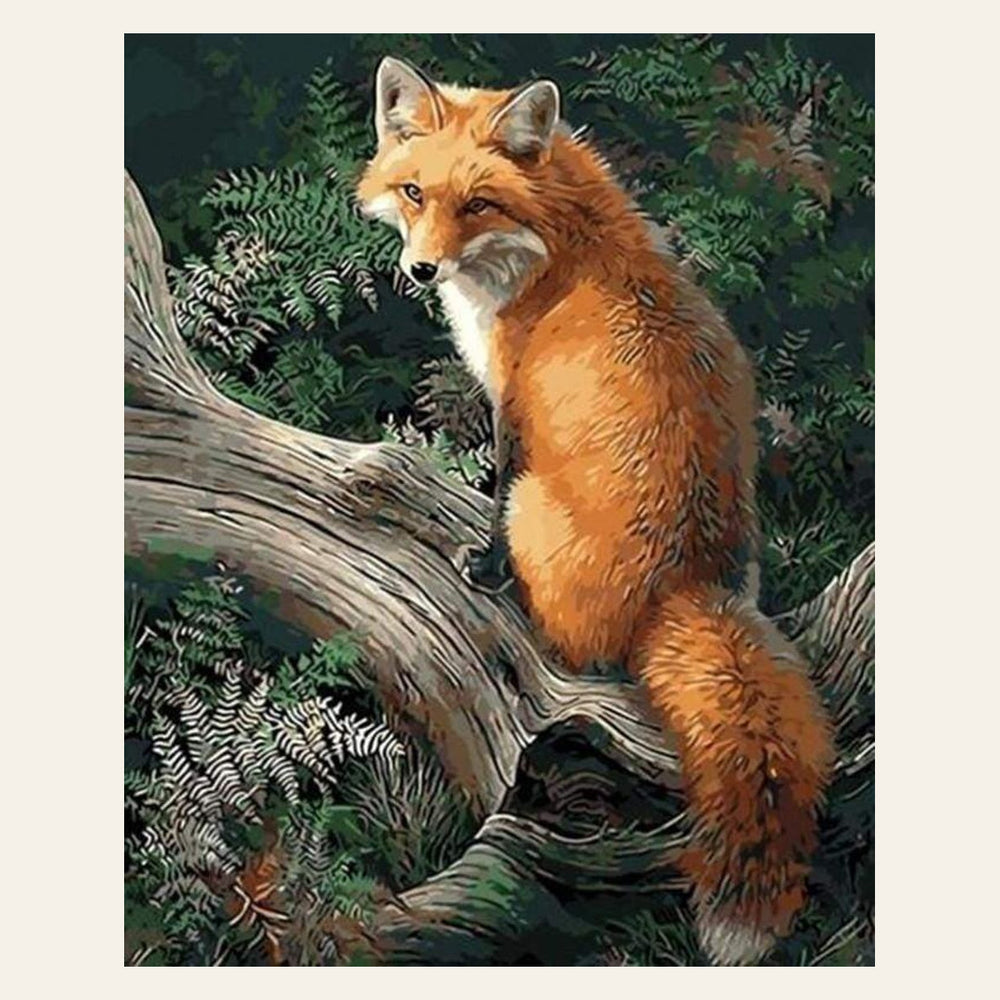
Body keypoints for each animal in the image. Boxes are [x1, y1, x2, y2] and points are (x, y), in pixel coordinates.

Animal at [357, 56, 835, 966]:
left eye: (477, 203)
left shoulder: (512, 403)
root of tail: (686, 588)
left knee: (568, 640)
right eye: (414, 192)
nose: (421, 271)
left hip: (539, 511)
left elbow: (495, 488)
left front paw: (483, 566)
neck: (559, 242)